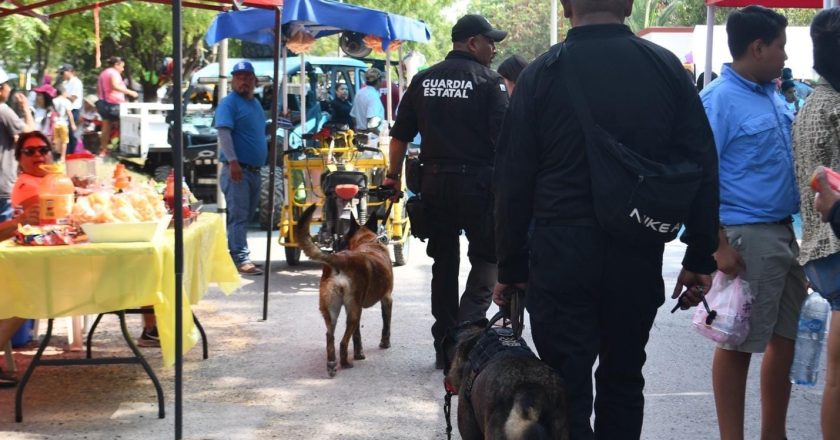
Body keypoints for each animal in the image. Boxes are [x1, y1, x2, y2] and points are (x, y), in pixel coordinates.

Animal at [296, 204, 394, 378]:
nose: (337, 243)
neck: (368, 241)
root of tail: (340, 260)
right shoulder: (387, 299)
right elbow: (386, 324)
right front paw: (384, 343)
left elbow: (357, 336)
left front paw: (359, 353)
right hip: (353, 311)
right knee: (342, 341)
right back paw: (345, 363)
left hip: (333, 311)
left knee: (330, 336)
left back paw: (332, 363)